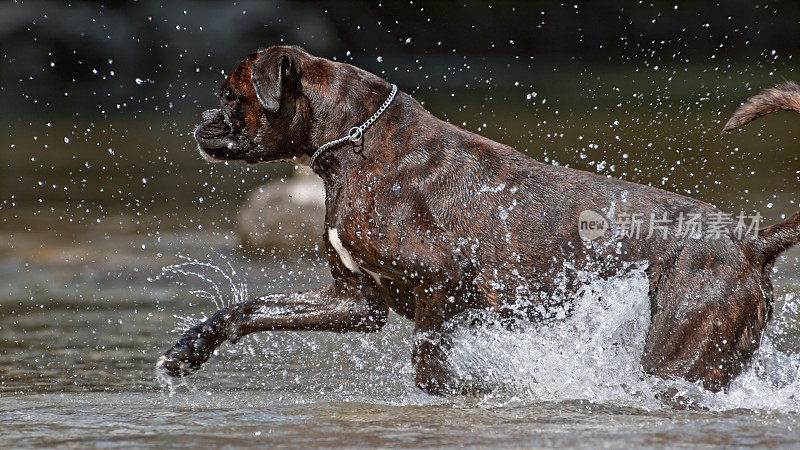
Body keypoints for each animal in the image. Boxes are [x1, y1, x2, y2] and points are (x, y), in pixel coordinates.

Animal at [156, 45, 800, 396]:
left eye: (229, 95)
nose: (200, 121)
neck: (356, 142)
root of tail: (748, 242)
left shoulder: (440, 282)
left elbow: (426, 362)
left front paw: (474, 389)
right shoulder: (353, 303)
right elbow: (249, 310)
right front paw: (190, 349)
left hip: (679, 355)